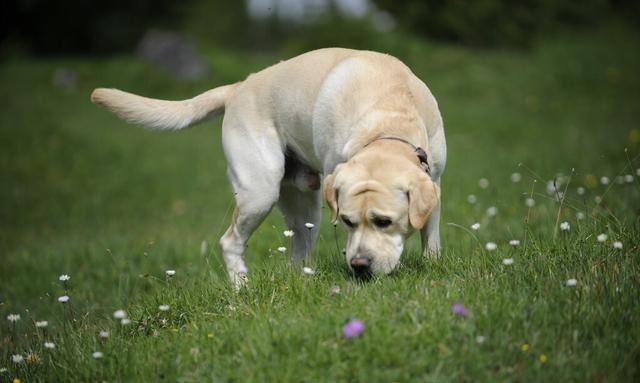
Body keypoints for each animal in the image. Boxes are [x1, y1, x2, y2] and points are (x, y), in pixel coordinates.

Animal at [92, 48, 448, 288]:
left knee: (298, 253)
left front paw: (432, 265)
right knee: (230, 241)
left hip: (305, 205)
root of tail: (238, 87)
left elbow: (430, 236)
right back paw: (242, 288)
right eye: (347, 222)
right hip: (259, 191)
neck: (389, 116)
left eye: (384, 221)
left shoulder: (434, 182)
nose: (359, 265)